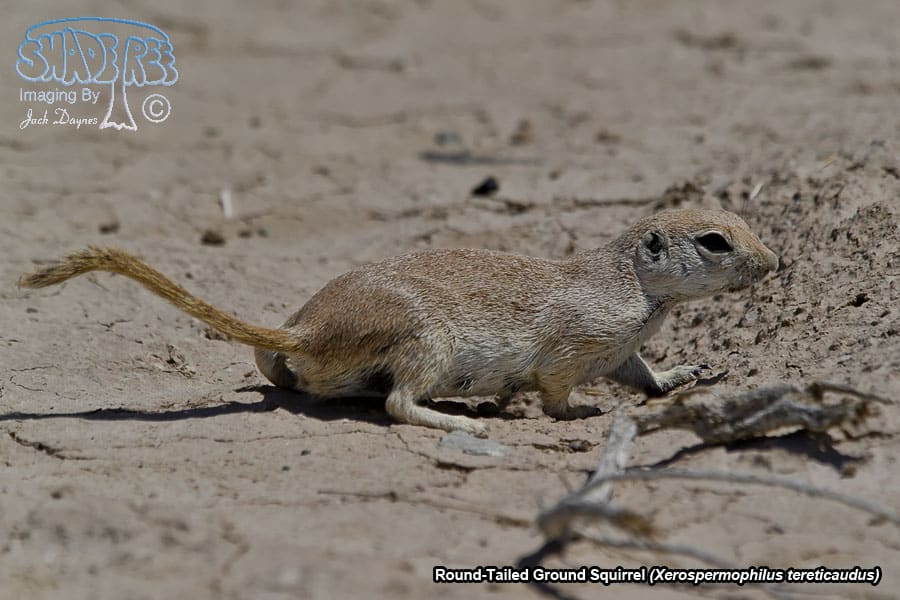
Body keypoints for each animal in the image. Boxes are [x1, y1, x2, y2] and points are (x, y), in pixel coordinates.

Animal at [18, 208, 778, 437]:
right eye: (715, 240)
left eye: (743, 220)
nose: (775, 262)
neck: (640, 291)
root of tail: (306, 330)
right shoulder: (578, 342)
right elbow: (558, 388)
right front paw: (580, 413)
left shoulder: (621, 350)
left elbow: (645, 375)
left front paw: (687, 371)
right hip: (425, 343)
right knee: (397, 403)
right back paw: (462, 418)